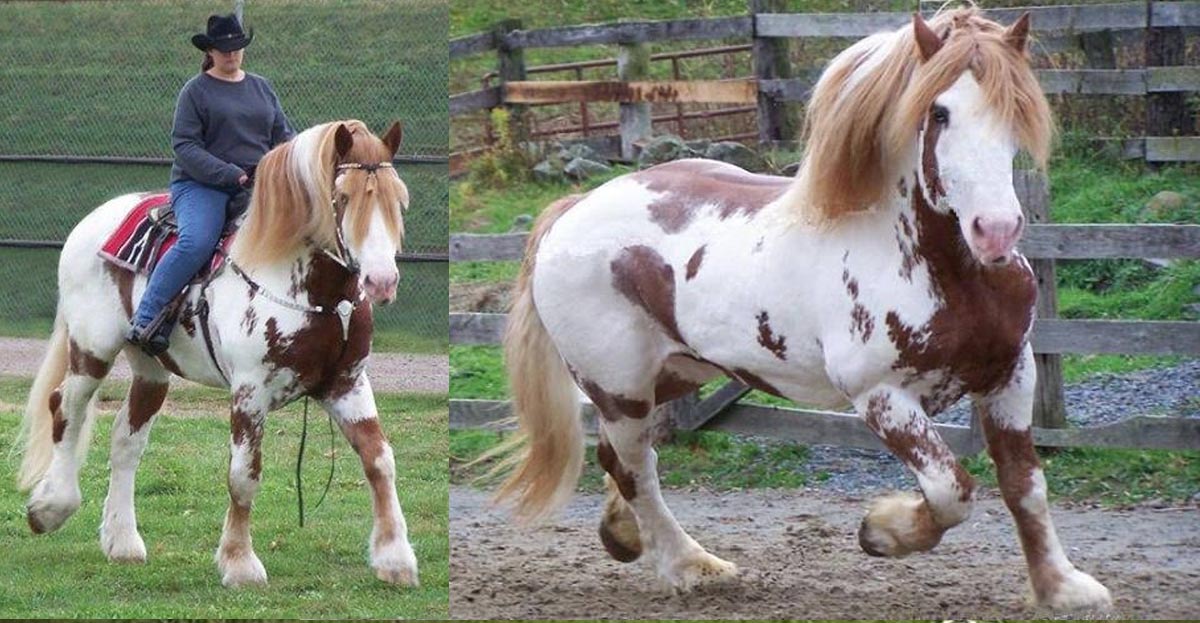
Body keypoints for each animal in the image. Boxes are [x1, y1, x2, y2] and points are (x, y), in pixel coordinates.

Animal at [15, 119, 422, 588]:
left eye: (399, 199)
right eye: (342, 198)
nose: (381, 281)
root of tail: (93, 220)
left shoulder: (347, 384)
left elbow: (380, 460)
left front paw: (395, 559)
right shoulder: (249, 393)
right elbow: (244, 475)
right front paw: (240, 563)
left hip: (151, 370)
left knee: (126, 442)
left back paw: (123, 542)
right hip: (92, 350)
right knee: (65, 409)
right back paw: (50, 507)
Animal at [492, 9, 1108, 612]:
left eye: (1019, 107)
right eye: (939, 112)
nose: (995, 231)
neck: (943, 273)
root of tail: (576, 207)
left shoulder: (1010, 374)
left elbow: (1025, 486)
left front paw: (1063, 588)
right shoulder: (882, 397)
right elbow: (950, 490)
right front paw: (882, 531)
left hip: (672, 373)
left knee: (615, 458)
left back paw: (623, 536)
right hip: (619, 389)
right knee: (634, 468)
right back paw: (690, 566)